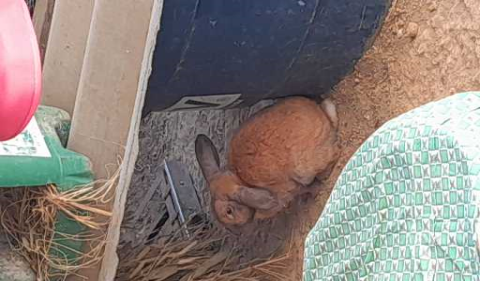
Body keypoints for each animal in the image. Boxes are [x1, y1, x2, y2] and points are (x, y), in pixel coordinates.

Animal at [196, 95, 342, 230]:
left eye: (228, 211)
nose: (233, 230)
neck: (241, 179)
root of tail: (322, 117)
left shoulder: (288, 191)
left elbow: (306, 188)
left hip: (303, 169)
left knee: (334, 154)